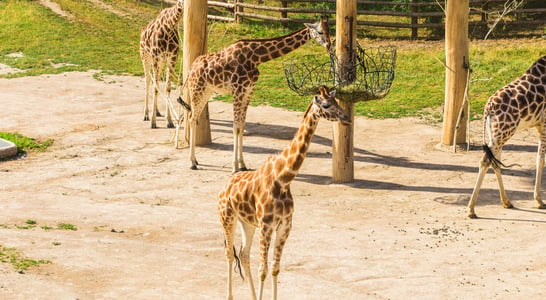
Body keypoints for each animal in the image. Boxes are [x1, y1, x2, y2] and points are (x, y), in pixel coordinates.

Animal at [178, 17, 330, 172]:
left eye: (329, 30)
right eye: (320, 31)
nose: (329, 45)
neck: (256, 57)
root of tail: (191, 69)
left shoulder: (248, 91)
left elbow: (241, 126)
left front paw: (242, 164)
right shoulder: (238, 90)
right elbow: (235, 127)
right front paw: (234, 167)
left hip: (206, 92)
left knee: (192, 117)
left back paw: (196, 160)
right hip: (196, 90)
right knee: (191, 118)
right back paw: (192, 162)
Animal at [216, 85, 348, 298]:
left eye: (337, 102)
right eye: (327, 105)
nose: (346, 117)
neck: (283, 178)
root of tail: (223, 188)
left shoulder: (285, 225)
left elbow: (275, 268)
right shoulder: (266, 226)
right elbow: (263, 270)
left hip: (247, 223)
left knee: (244, 254)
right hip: (227, 217)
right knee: (229, 253)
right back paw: (229, 296)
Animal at [466, 55, 544, 218]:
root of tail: (488, 109)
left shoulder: (540, 125)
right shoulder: (544, 123)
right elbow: (541, 160)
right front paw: (539, 201)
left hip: (496, 133)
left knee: (494, 161)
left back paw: (506, 202)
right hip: (504, 132)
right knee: (486, 161)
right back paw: (471, 209)